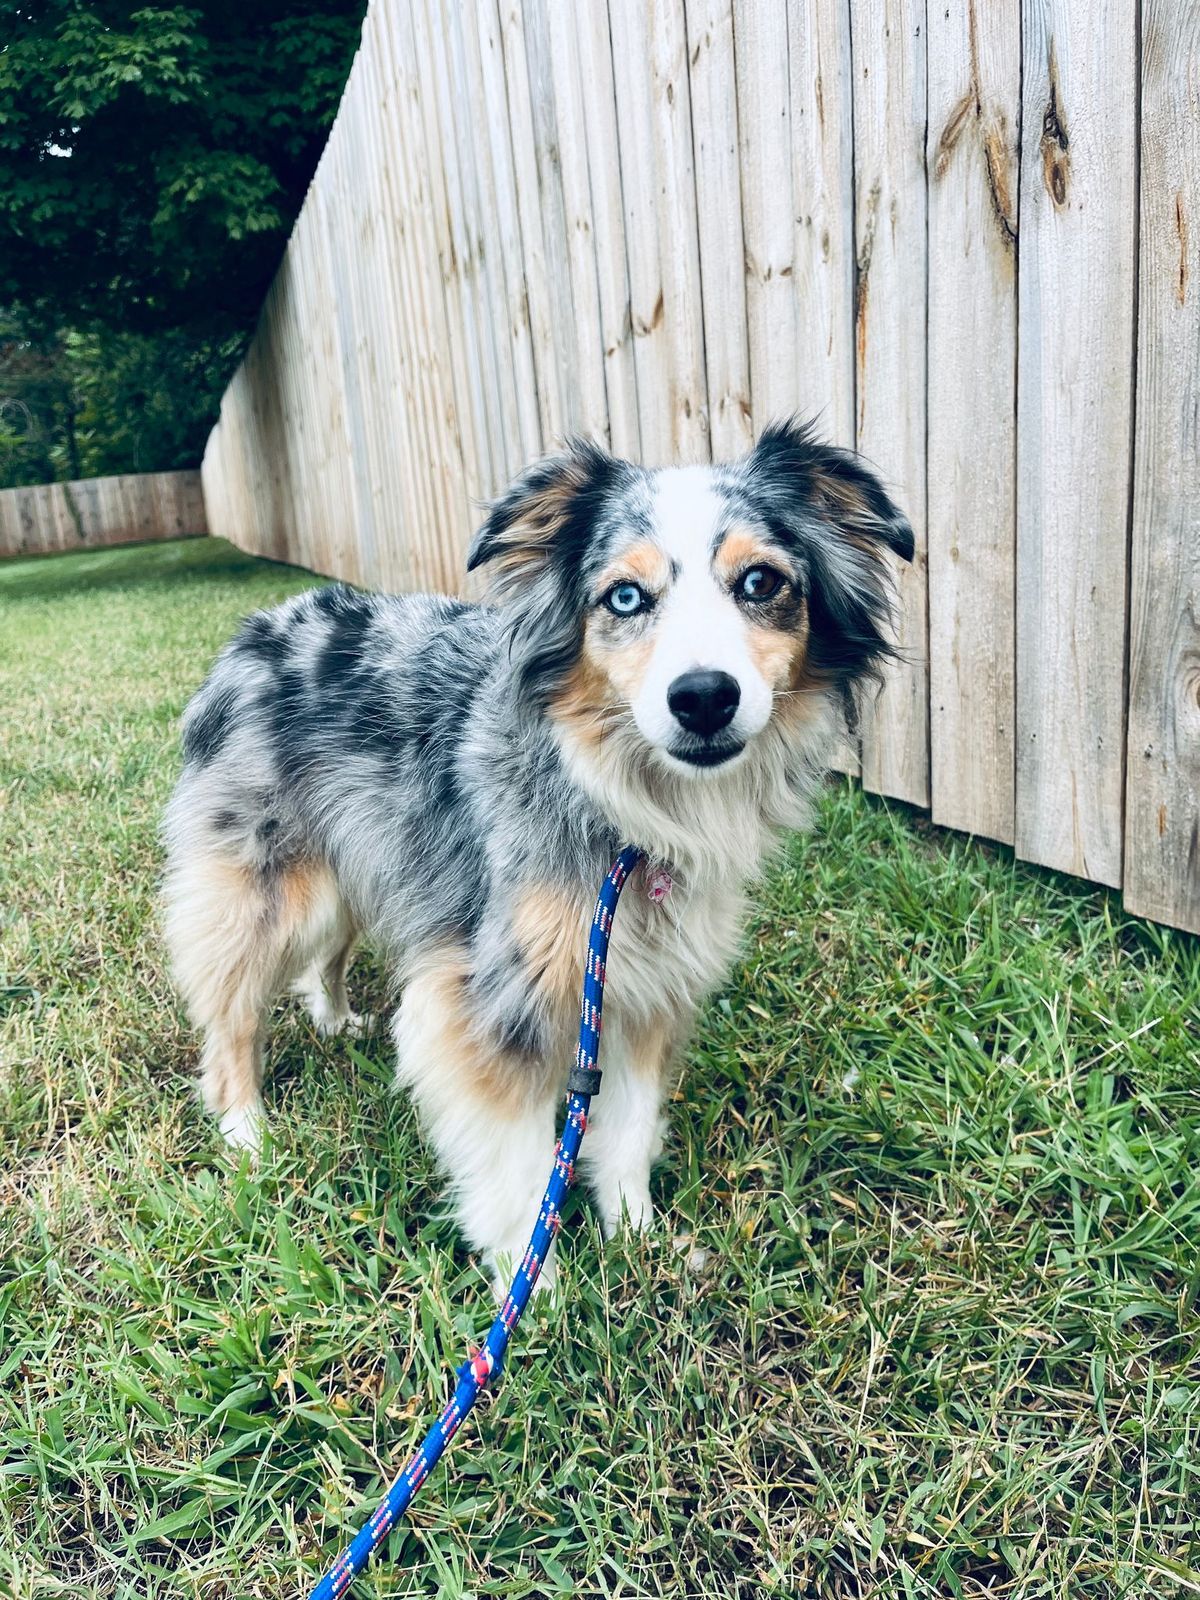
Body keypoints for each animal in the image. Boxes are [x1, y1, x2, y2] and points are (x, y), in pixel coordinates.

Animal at [160, 419, 908, 1292]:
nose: (703, 698)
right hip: (273, 891)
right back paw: (246, 1131)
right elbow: (515, 1163)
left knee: (327, 955)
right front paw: (537, 1285)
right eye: (625, 597)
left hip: (366, 866)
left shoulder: (640, 985)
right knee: (230, 1013)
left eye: (761, 582)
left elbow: (626, 1128)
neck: (623, 806)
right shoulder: (491, 998)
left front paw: (638, 1237)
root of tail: (256, 633)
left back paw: (338, 1019)